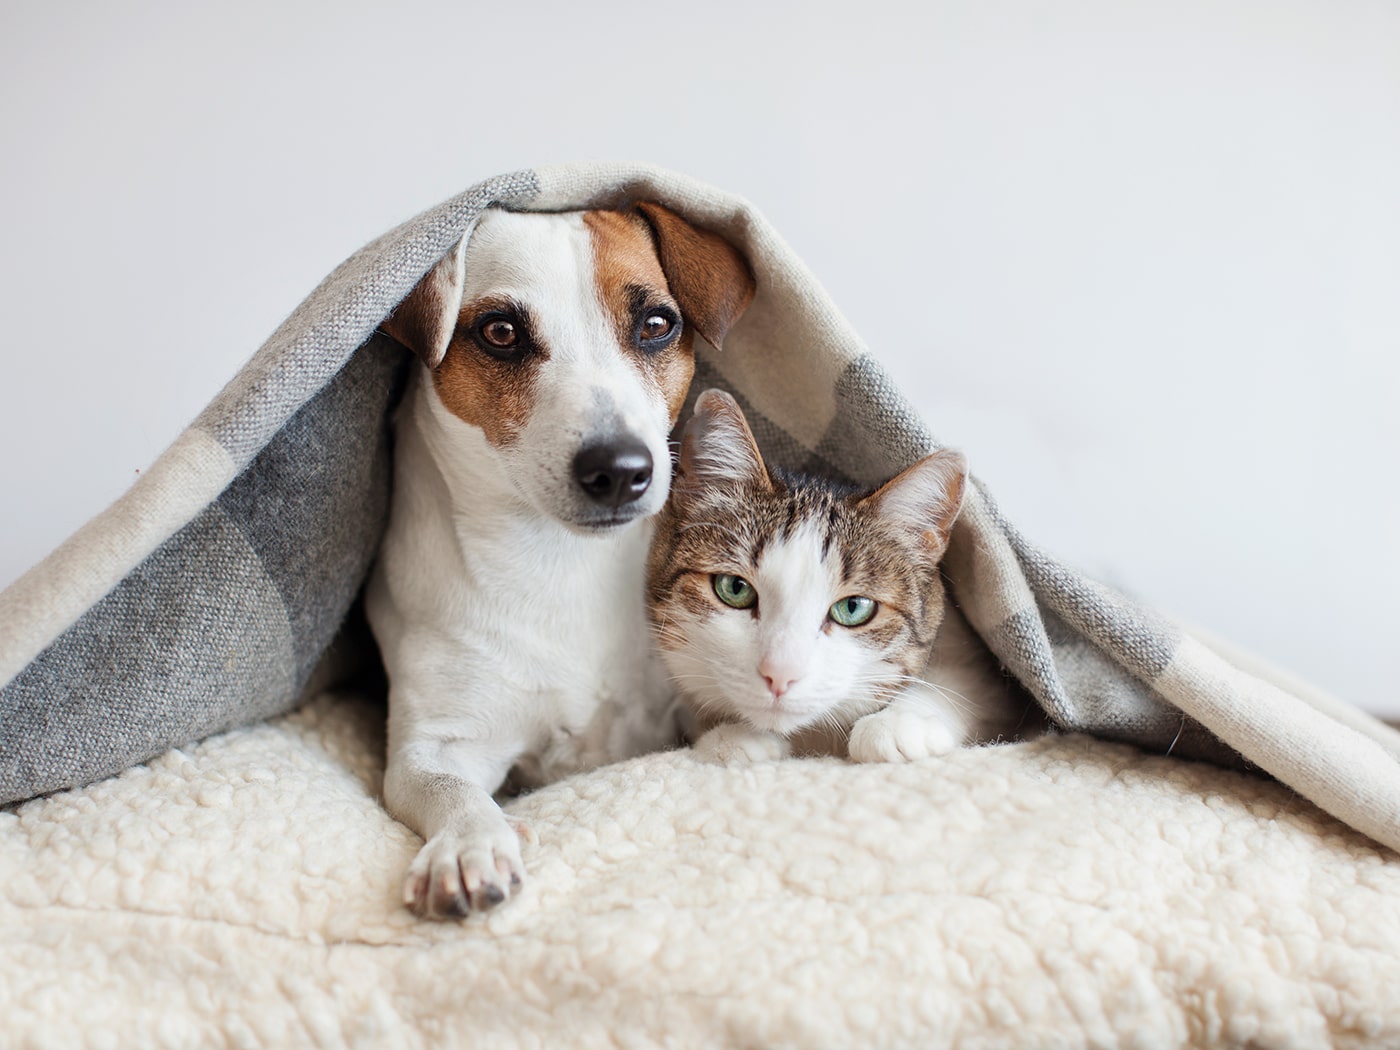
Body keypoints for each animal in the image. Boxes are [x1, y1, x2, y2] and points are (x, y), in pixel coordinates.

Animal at [366, 203, 750, 918]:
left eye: (656, 325)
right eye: (501, 332)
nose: (620, 469)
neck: (560, 563)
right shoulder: (433, 746)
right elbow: (449, 790)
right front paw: (468, 845)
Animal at [641, 392, 1030, 767]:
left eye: (854, 608)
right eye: (734, 588)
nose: (779, 675)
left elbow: (968, 684)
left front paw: (899, 723)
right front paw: (731, 736)